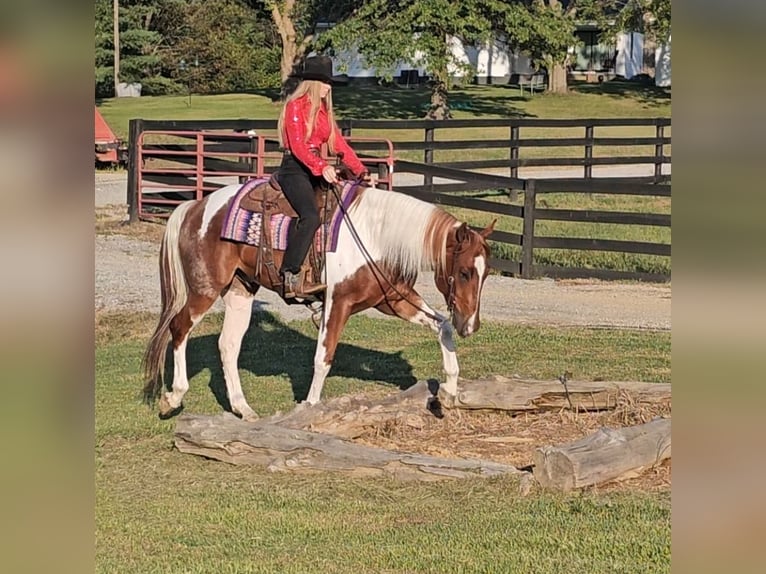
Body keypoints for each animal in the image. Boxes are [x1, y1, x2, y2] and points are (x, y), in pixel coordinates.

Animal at [142, 176, 495, 420]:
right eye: (465, 272)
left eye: (487, 273)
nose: (471, 325)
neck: (375, 234)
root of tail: (196, 207)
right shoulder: (338, 302)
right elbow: (323, 358)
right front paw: (310, 406)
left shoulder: (394, 299)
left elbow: (442, 326)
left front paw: (449, 390)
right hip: (205, 288)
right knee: (179, 328)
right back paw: (172, 398)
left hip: (240, 289)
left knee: (228, 344)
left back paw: (243, 409)